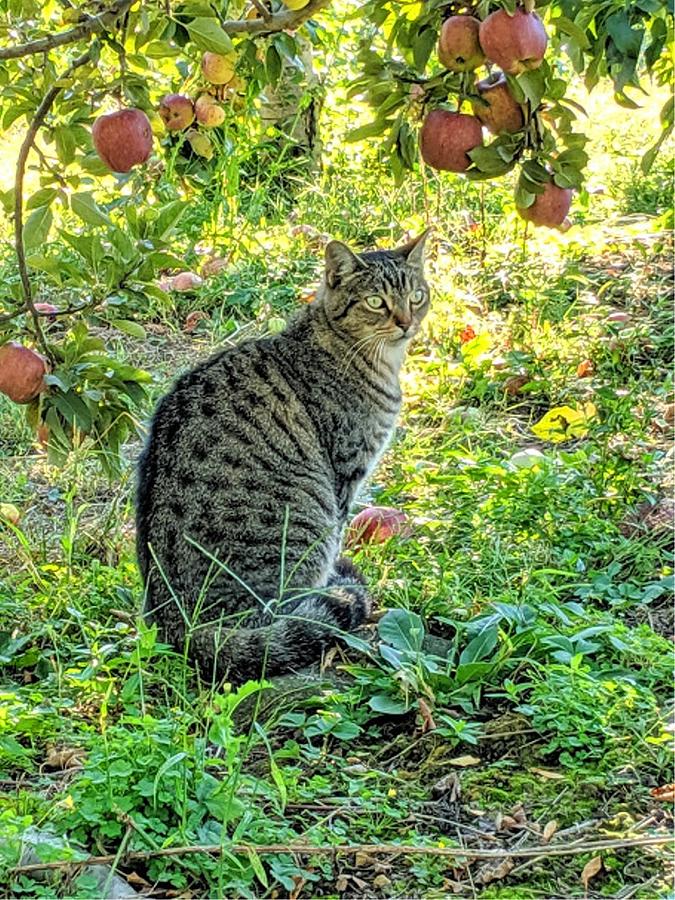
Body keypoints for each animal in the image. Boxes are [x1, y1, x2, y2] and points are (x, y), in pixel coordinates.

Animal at [137, 230, 430, 684]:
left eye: (416, 296)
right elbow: (338, 536)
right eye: (375, 302)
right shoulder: (344, 477)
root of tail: (180, 624)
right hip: (304, 521)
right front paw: (335, 588)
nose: (406, 322)